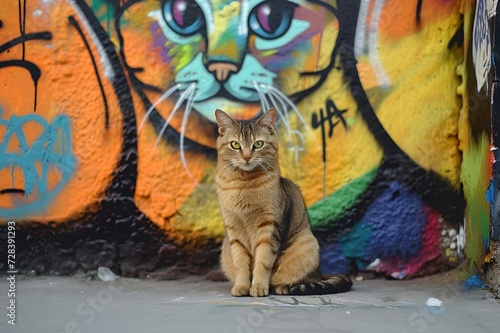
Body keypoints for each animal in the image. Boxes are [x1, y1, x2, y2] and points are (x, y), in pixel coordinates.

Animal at [215, 107, 352, 296]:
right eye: (235, 145)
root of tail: (320, 273)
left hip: (307, 245)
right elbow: (241, 263)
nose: (247, 157)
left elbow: (263, 262)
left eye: (258, 144)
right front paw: (242, 286)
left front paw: (258, 287)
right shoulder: (234, 231)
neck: (244, 184)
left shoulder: (268, 227)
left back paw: (282, 287)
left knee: (298, 279)